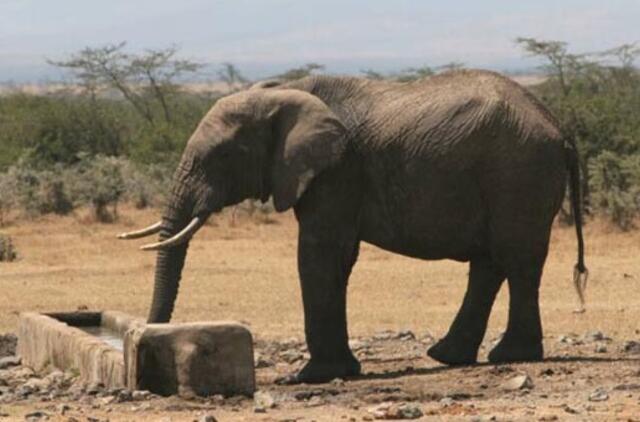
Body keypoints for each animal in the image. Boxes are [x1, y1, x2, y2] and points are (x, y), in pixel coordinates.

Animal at [117, 70, 588, 386]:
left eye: (221, 157)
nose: (142, 343)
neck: (282, 90)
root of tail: (560, 129)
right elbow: (337, 259)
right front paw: (338, 371)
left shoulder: (337, 170)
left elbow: (320, 254)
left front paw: (308, 377)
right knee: (490, 263)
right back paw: (448, 356)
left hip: (518, 174)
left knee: (516, 259)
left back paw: (509, 355)